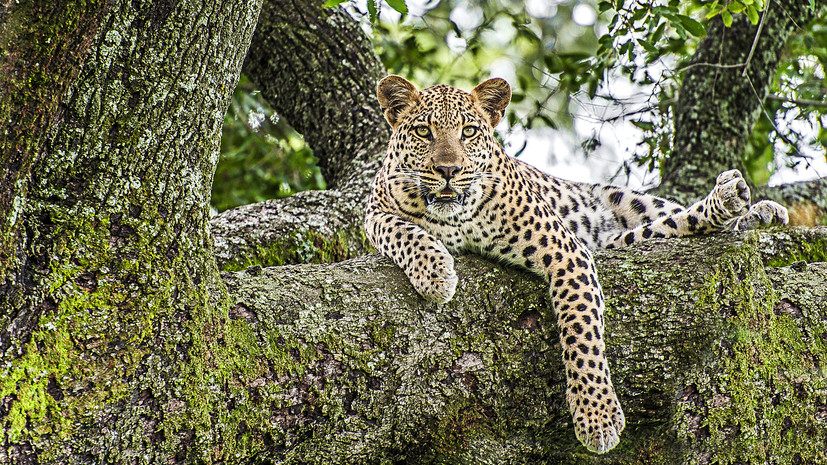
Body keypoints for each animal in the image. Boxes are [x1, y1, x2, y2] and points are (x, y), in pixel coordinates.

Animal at [368, 74, 788, 452]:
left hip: (629, 201)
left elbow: (581, 332)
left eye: (469, 132)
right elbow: (400, 230)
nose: (448, 170)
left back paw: (745, 201)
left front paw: (597, 418)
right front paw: (435, 274)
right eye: (423, 131)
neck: (457, 217)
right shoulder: (374, 214)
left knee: (681, 215)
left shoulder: (565, 251)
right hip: (619, 241)